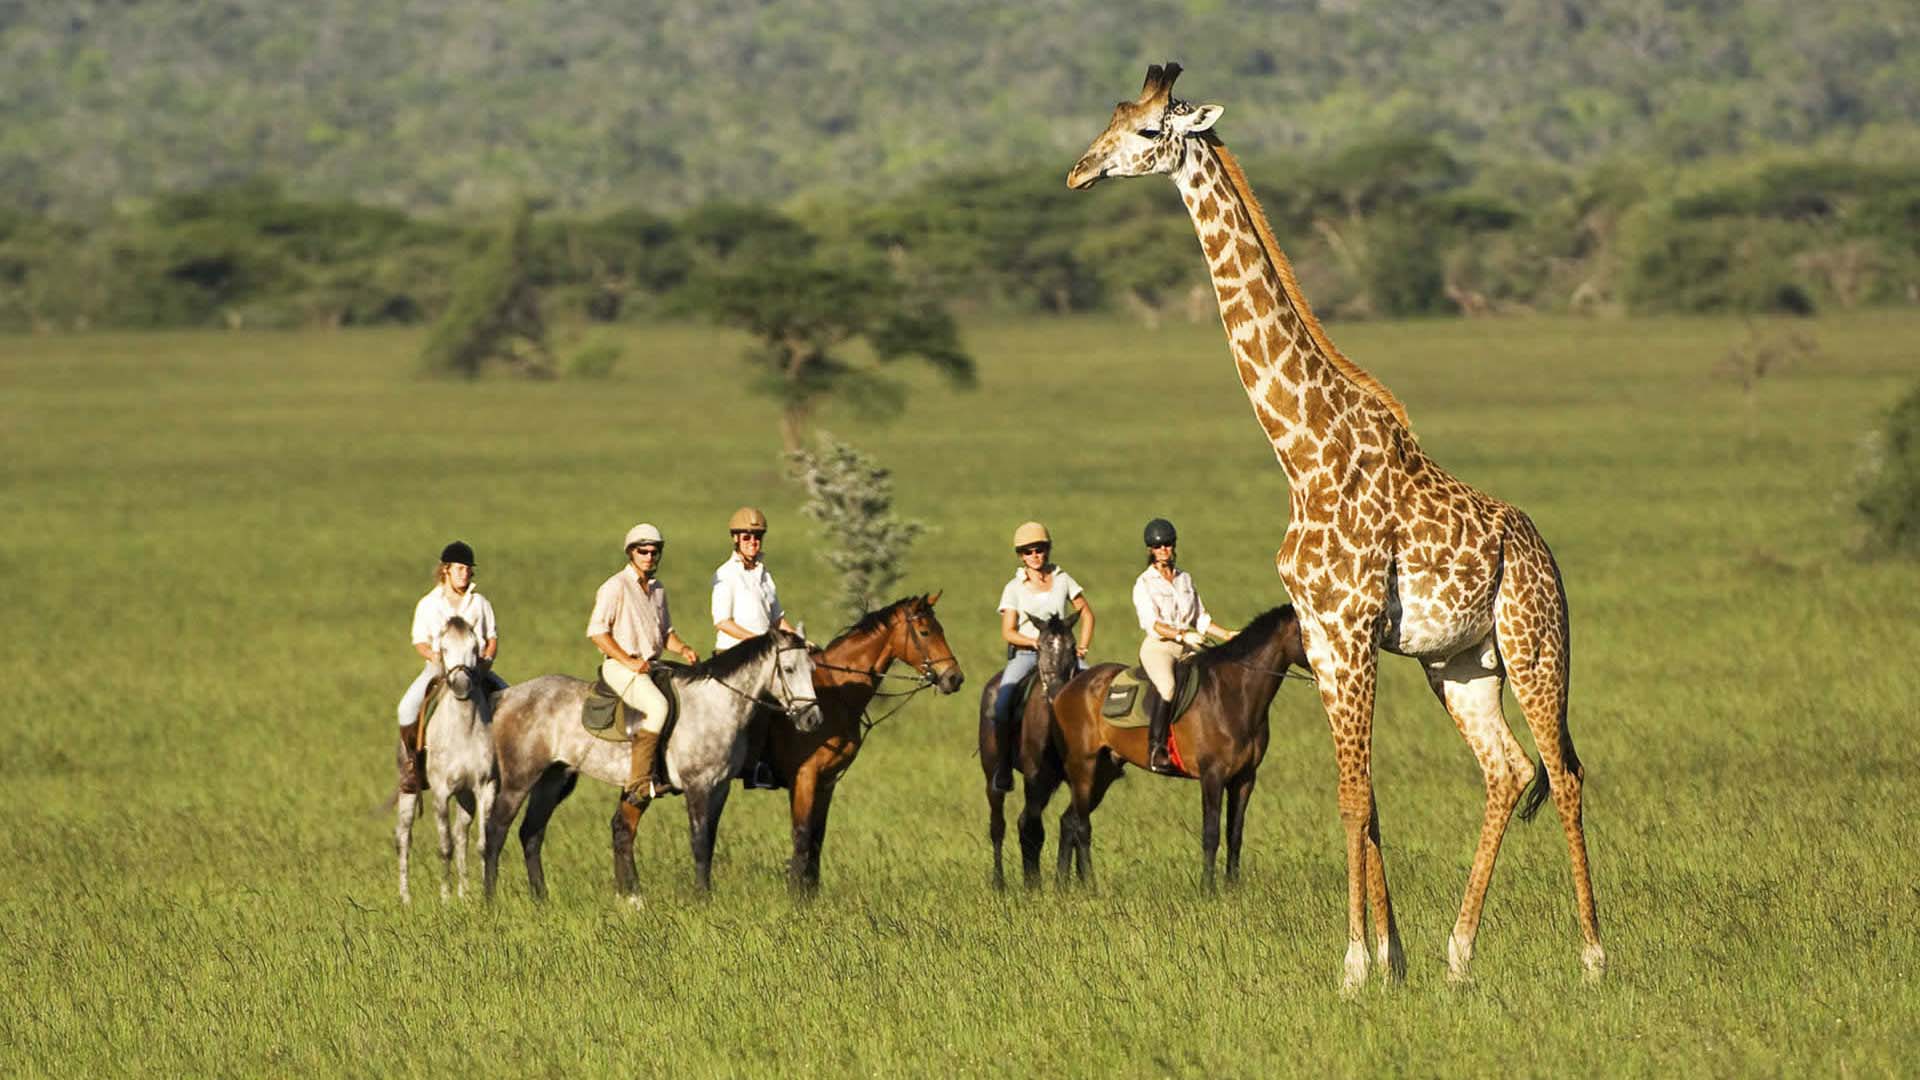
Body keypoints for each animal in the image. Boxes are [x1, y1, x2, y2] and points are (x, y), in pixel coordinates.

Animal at [1067, 63, 1603, 992]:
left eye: (1146, 131)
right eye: (1115, 115)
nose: (1078, 173)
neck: (1300, 449)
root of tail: (1543, 552)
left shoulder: (1351, 625)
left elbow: (1355, 794)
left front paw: (1355, 966)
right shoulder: (1320, 633)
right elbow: (1365, 796)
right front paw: (1391, 959)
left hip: (1535, 642)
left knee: (1564, 773)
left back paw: (1594, 957)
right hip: (1459, 663)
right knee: (1508, 772)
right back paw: (1459, 955)